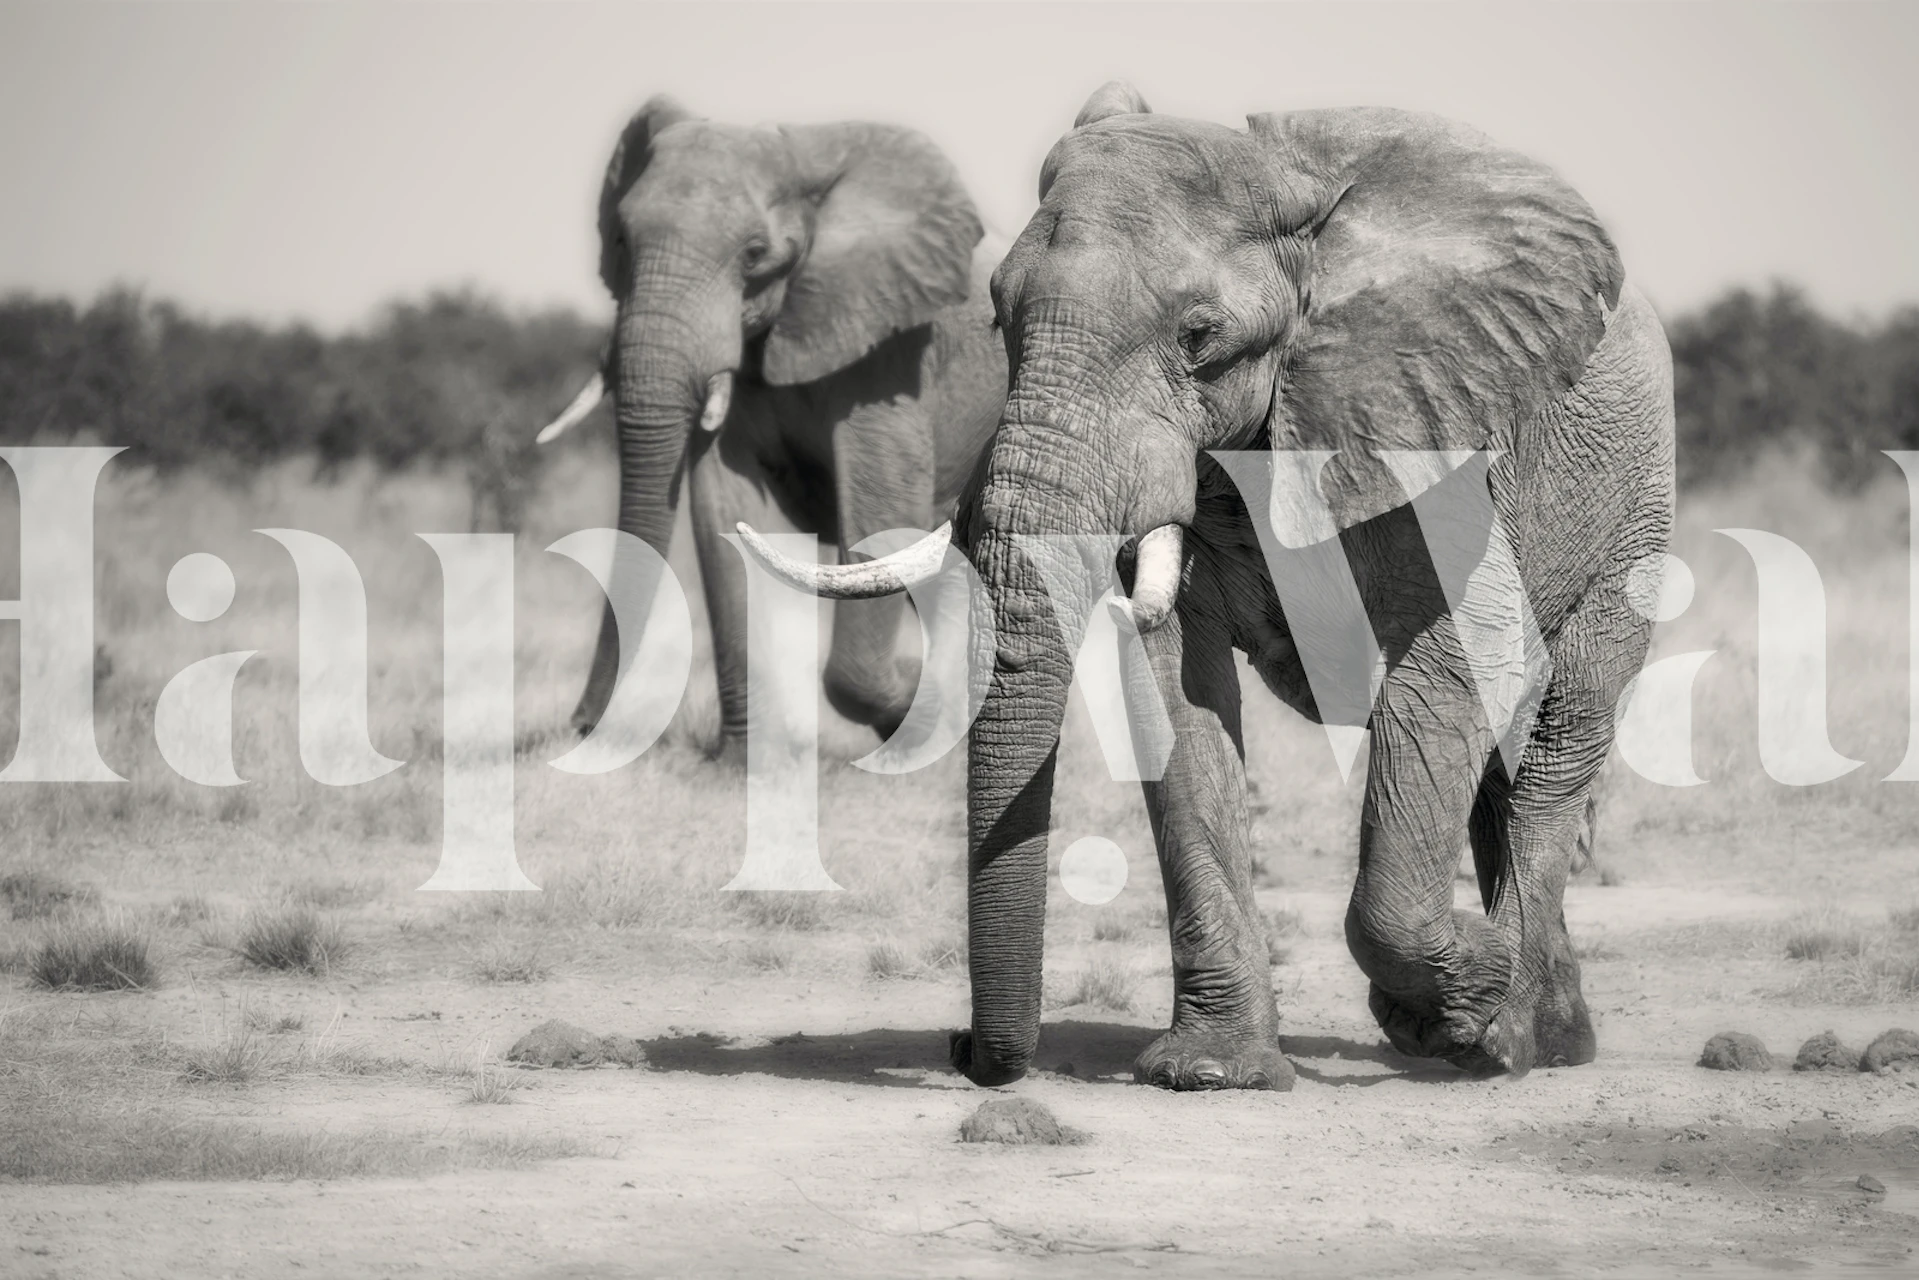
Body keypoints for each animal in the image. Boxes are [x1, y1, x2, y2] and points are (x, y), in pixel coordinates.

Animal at [537, 95, 1007, 756]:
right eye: (621, 240)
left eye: (755, 254)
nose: (577, 727)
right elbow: (721, 507)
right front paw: (750, 762)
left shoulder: (890, 350)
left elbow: (882, 502)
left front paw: (913, 705)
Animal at [744, 83, 1674, 1091]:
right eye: (997, 320)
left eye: (1199, 338)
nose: (961, 1050)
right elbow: (1175, 692)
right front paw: (1213, 1071)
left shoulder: (1427, 424)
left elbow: (1466, 663)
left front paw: (1464, 1000)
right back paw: (1533, 1032)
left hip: (1633, 507)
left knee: (1558, 736)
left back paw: (1510, 1039)